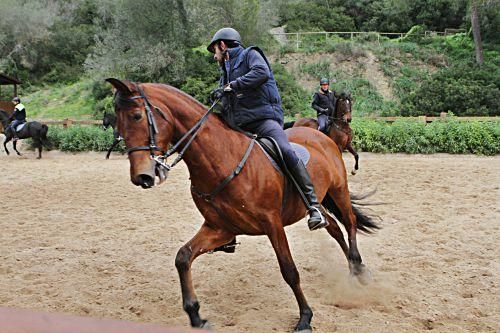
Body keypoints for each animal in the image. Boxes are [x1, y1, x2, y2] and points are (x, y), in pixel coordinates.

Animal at [106, 78, 378, 332]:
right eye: (117, 123)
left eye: (137, 116)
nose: (142, 176)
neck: (221, 159)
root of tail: (321, 136)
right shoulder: (220, 228)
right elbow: (182, 257)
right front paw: (196, 315)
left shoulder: (272, 223)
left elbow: (289, 270)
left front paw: (305, 317)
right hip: (316, 202)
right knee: (334, 227)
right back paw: (356, 268)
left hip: (338, 190)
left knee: (350, 223)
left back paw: (357, 266)